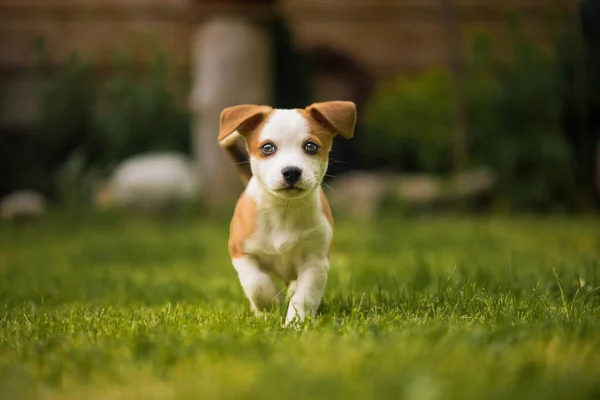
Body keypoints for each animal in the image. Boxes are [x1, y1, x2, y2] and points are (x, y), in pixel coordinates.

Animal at [218, 100, 356, 324]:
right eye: (267, 147)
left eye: (311, 146)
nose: (291, 171)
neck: (284, 211)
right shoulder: (241, 253)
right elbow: (256, 283)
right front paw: (272, 303)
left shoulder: (315, 261)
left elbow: (304, 297)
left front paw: (295, 323)